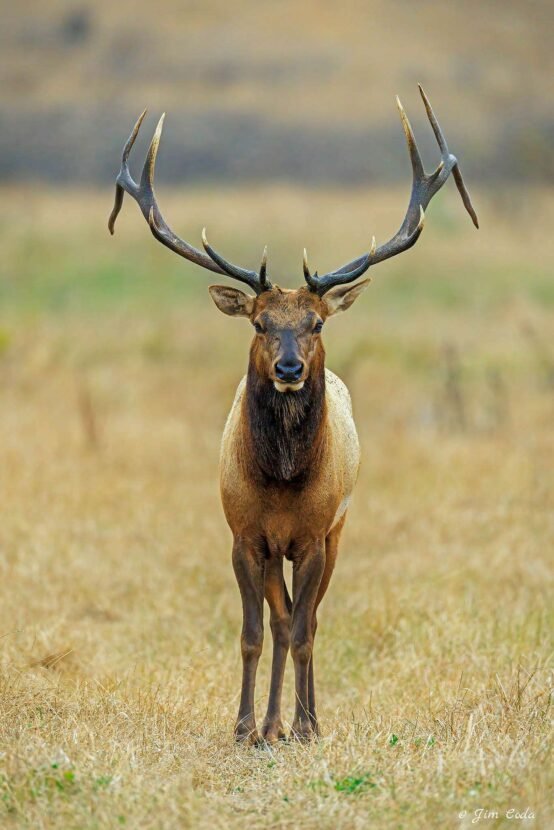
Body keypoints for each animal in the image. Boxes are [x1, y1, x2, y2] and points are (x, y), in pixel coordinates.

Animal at [108, 86, 478, 744]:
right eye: (260, 323)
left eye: (317, 323)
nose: (288, 367)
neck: (280, 484)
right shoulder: (243, 535)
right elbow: (256, 633)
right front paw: (245, 726)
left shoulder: (313, 534)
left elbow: (304, 630)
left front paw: (305, 725)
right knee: (280, 622)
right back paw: (271, 724)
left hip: (339, 530)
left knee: (310, 621)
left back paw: (300, 719)